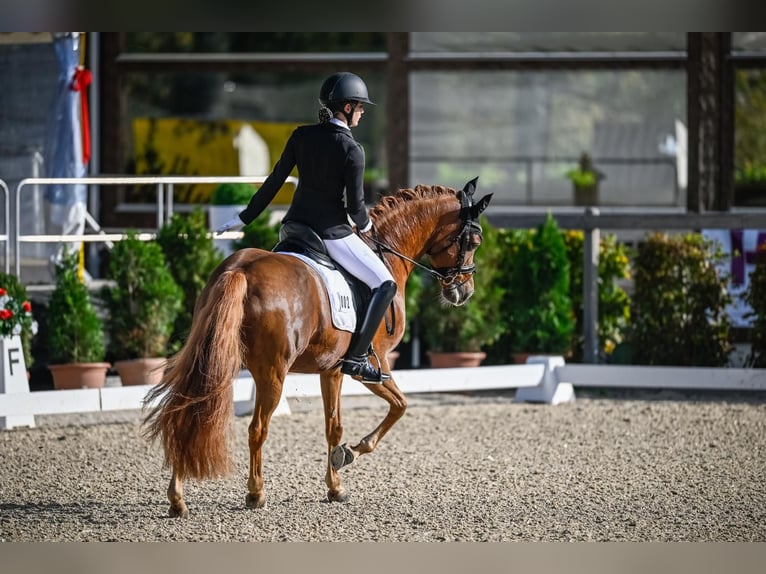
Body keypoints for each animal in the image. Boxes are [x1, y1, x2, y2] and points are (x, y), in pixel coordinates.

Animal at [143, 177, 492, 516]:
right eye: (475, 242)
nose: (464, 292)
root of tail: (241, 271)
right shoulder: (370, 367)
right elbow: (398, 407)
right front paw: (349, 456)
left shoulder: (330, 370)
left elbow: (333, 426)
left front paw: (335, 483)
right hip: (272, 374)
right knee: (256, 429)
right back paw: (256, 493)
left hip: (215, 359)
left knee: (187, 412)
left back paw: (177, 499)